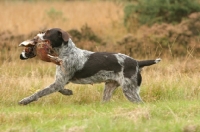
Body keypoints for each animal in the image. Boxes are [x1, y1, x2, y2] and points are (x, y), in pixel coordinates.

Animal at [18, 28, 160, 105]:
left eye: (47, 33)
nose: (36, 37)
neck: (66, 52)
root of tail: (137, 62)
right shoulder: (61, 81)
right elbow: (60, 89)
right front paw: (68, 92)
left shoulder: (60, 81)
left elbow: (39, 92)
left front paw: (25, 100)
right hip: (109, 88)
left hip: (130, 91)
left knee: (141, 103)